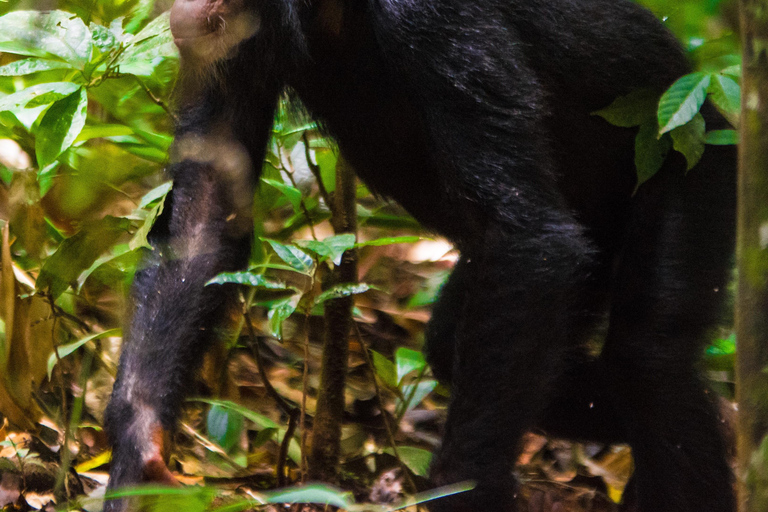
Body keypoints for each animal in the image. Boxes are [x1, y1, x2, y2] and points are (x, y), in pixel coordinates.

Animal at [103, 0, 736, 510]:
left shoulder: (434, 19)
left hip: (700, 159)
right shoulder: (235, 52)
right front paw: (139, 451)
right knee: (460, 347)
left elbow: (523, 230)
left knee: (648, 362)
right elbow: (205, 217)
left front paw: (467, 490)